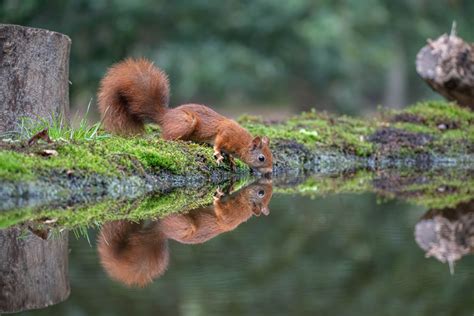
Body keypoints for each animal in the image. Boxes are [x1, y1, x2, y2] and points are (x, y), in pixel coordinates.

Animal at [97, 58, 274, 174]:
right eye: (261, 158)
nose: (270, 172)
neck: (241, 143)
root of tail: (166, 116)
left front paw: (231, 160)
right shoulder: (225, 134)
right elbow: (218, 144)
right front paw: (218, 155)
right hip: (186, 122)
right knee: (166, 138)